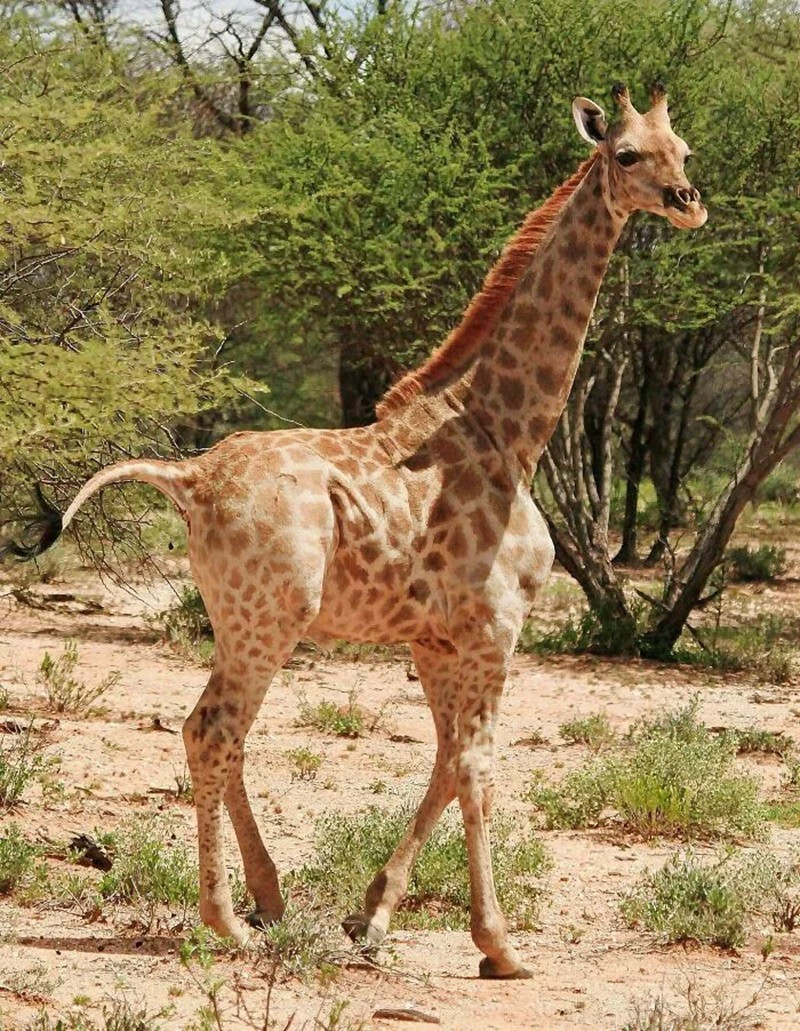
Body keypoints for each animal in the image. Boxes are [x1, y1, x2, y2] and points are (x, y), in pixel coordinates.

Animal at [2, 84, 706, 978]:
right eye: (626, 154)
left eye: (684, 149)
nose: (687, 201)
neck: (508, 429)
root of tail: (188, 480)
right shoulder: (497, 626)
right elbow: (477, 765)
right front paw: (499, 945)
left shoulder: (434, 637)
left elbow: (445, 759)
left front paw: (371, 917)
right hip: (273, 617)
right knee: (212, 730)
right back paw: (226, 921)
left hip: (237, 617)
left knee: (223, 733)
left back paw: (266, 900)